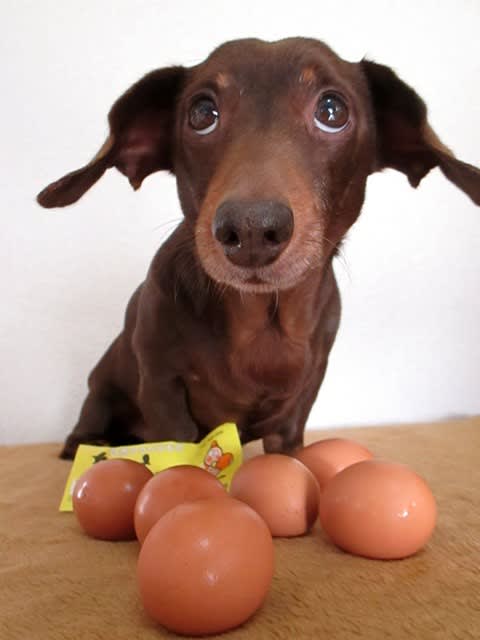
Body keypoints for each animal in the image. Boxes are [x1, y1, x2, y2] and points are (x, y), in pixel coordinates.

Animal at [38, 37, 480, 458]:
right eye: (202, 114)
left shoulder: (302, 397)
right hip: (102, 387)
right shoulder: (161, 383)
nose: (250, 228)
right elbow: (178, 447)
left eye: (332, 110)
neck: (263, 320)